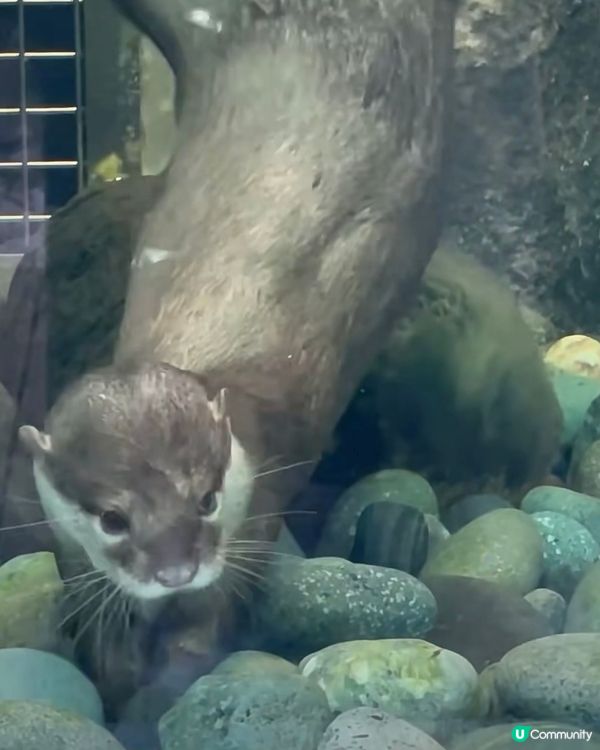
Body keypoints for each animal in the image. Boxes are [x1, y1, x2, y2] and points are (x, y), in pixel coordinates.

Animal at [15, 0, 454, 700]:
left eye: (207, 500)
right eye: (112, 518)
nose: (174, 570)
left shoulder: (260, 499)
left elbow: (216, 613)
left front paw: (175, 672)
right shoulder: (68, 543)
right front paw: (114, 668)